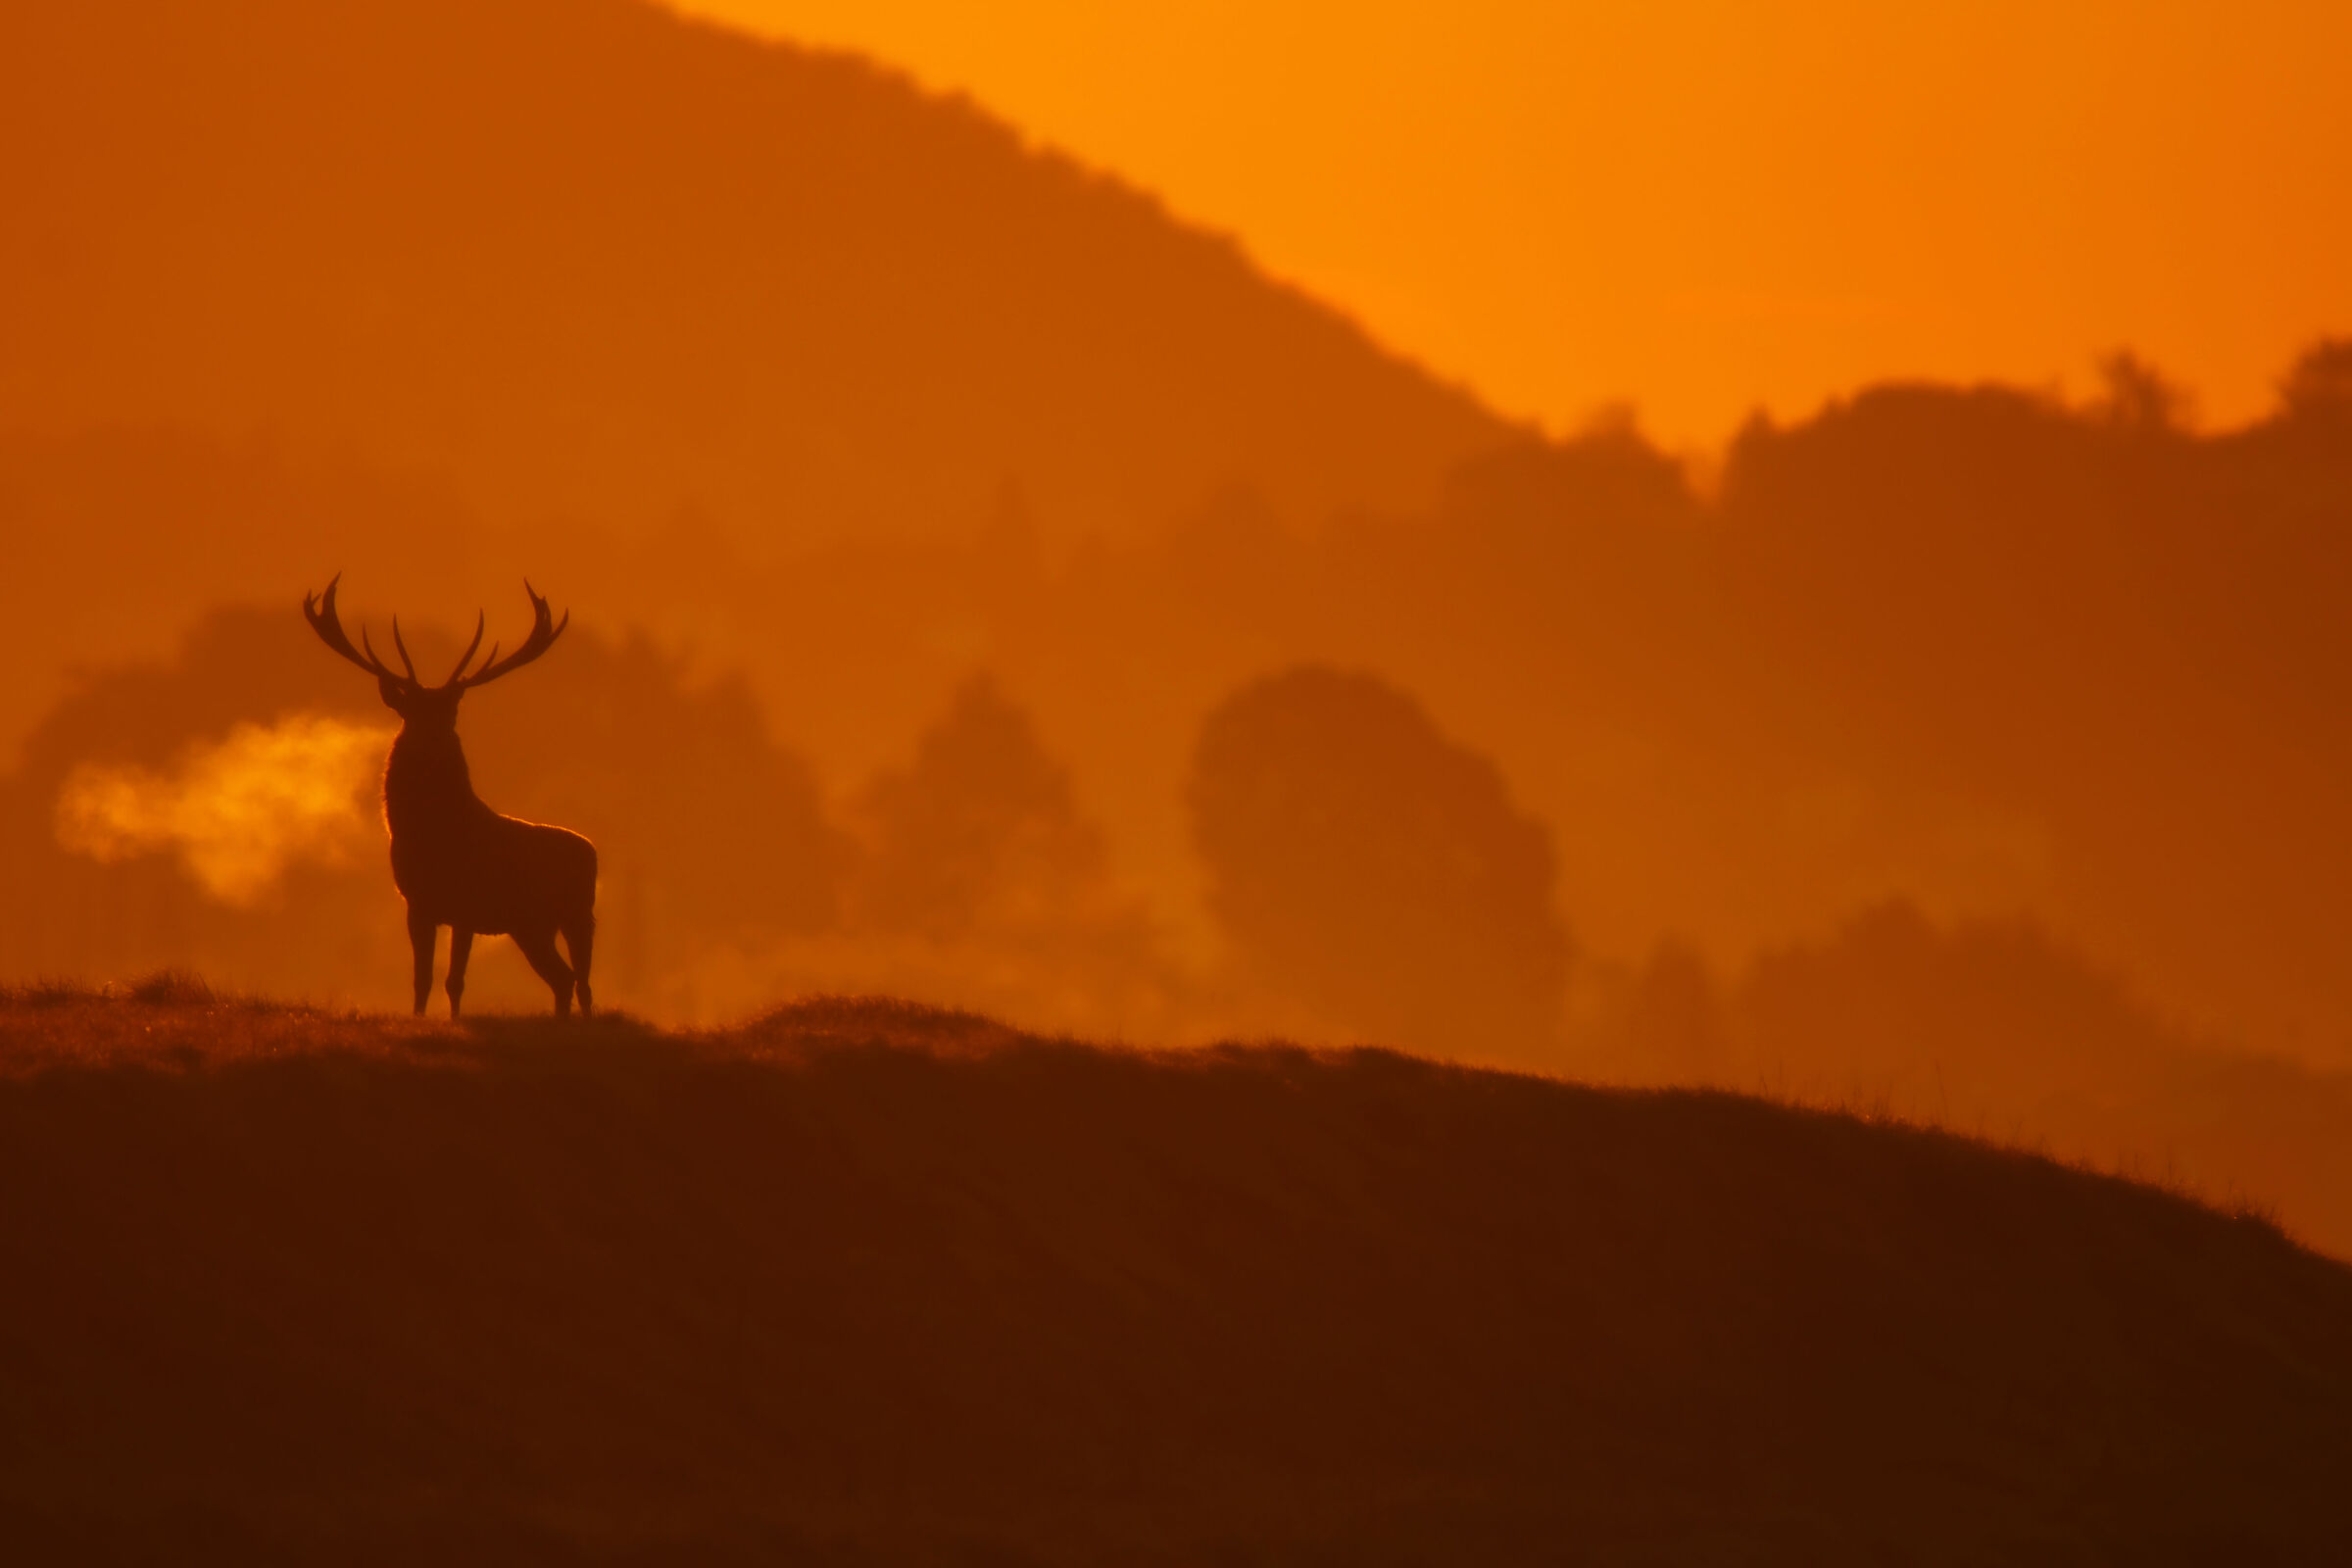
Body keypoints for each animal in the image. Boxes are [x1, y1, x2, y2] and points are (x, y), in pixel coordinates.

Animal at [303, 576, 597, 1018]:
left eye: (451, 710)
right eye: (409, 710)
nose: (433, 739)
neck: (434, 836)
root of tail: (593, 853)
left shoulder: (466, 905)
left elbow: (454, 981)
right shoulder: (417, 903)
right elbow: (422, 979)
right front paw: (420, 1018)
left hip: (575, 915)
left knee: (579, 982)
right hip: (533, 925)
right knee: (567, 980)